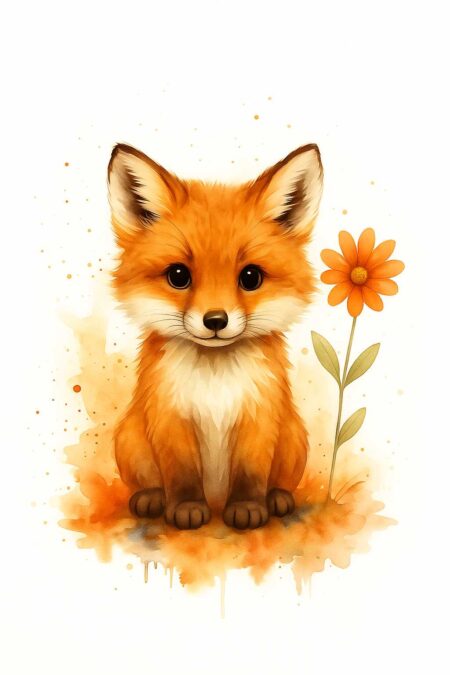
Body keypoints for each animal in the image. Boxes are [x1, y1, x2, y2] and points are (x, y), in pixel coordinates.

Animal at [107, 141, 323, 530]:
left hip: (293, 439)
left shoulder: (259, 415)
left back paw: (277, 498)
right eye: (178, 275)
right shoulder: (170, 416)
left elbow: (251, 473)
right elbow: (181, 474)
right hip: (130, 440)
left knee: (279, 481)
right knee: (149, 481)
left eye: (250, 277)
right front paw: (187, 508)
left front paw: (248, 507)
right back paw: (151, 497)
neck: (215, 382)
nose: (215, 320)